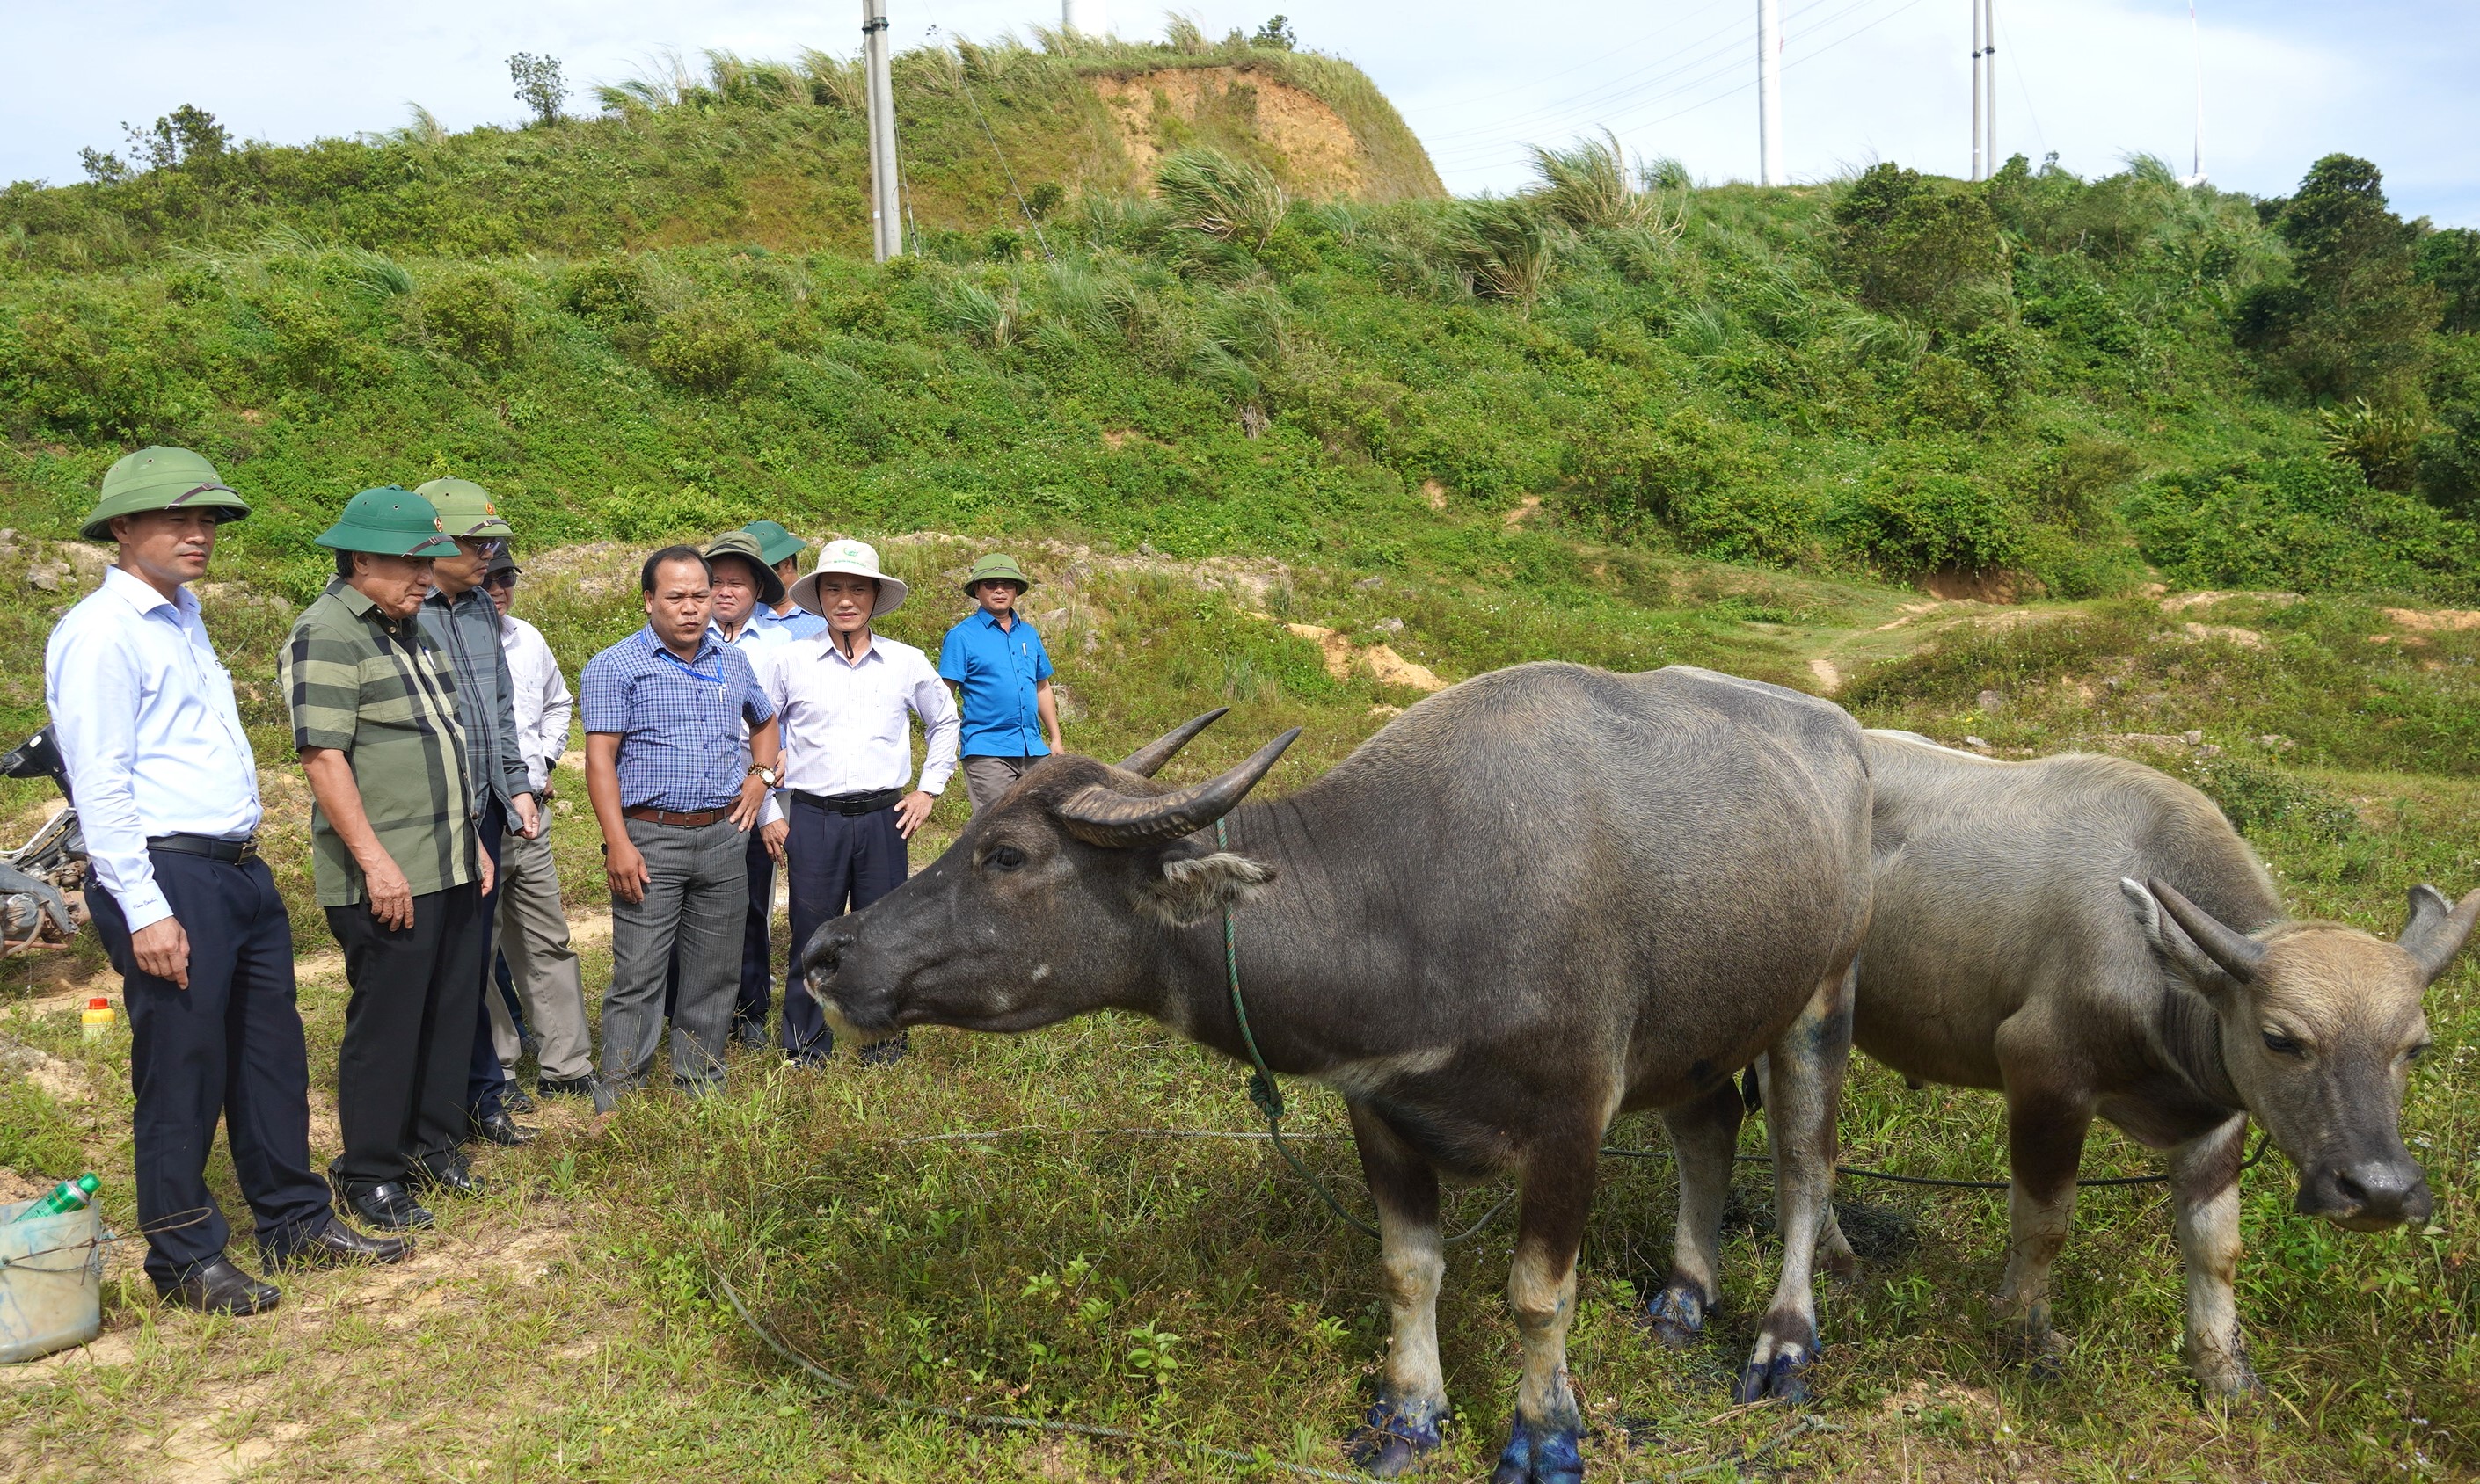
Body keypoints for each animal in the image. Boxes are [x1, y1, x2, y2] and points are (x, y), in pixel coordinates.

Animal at [803, 668, 1864, 1476]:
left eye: (1008, 854)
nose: (824, 951)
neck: (1413, 900)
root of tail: (1842, 738)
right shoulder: (1380, 1112)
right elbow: (1407, 1269)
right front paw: (1408, 1417)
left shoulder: (1571, 1123)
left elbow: (1537, 1293)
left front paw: (1545, 1436)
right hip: (1704, 1025)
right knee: (1708, 1128)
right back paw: (1684, 1296)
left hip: (1823, 997)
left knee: (1805, 1168)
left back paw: (1783, 1343)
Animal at [1815, 738, 2469, 1397]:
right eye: (2280, 1039)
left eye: (2415, 1047)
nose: (2381, 1191)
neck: (2155, 971)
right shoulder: (2044, 1078)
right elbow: (2044, 1225)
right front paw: (2027, 1334)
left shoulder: (2217, 1115)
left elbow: (2215, 1245)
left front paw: (2224, 1370)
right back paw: (1839, 1263)